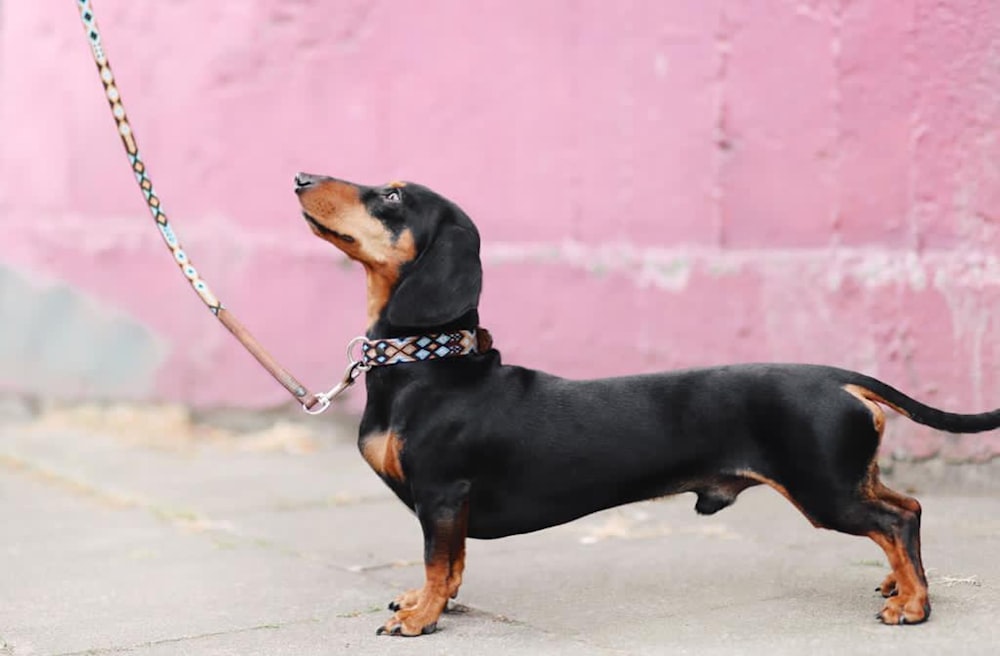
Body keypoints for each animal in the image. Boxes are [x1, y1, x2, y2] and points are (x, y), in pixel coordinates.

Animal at [292, 172, 996, 640]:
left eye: (391, 197)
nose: (300, 177)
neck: (428, 363)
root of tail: (839, 377)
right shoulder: (448, 507)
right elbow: (453, 562)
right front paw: (427, 601)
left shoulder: (441, 495)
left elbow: (440, 560)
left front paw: (422, 616)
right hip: (846, 476)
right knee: (907, 508)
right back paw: (899, 583)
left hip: (824, 489)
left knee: (896, 520)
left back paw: (913, 605)